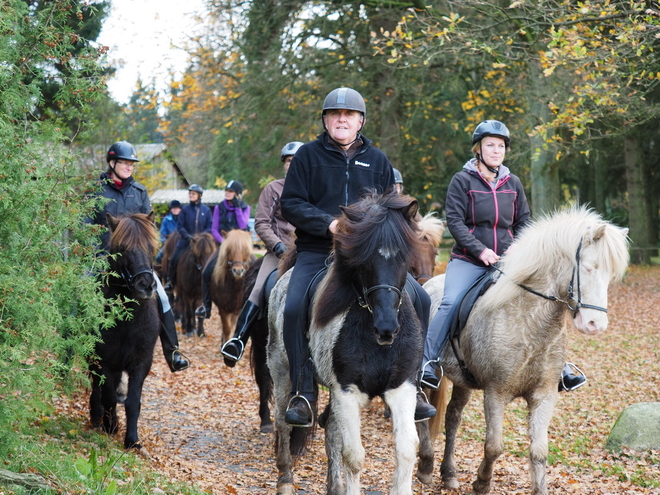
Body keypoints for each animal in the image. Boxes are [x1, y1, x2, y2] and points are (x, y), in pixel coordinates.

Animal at [89, 211, 160, 452]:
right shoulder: (106, 360)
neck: (128, 320)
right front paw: (111, 426)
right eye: (123, 248)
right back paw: (96, 417)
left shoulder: (141, 362)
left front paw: (132, 439)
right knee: (96, 387)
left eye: (151, 247)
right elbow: (109, 397)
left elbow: (132, 401)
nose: (146, 285)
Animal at [266, 193, 426, 495]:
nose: (386, 328)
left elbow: (406, 449)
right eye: (364, 260)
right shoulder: (347, 391)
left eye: (403, 257)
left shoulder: (401, 388)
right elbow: (354, 456)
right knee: (282, 421)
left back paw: (334, 486)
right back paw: (285, 480)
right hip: (281, 370)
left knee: (330, 428)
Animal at [422, 205, 628, 495]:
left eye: (609, 276)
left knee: (453, 417)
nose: (595, 325)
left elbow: (539, 452)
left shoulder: (544, 395)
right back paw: (425, 466)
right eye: (589, 268)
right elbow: (494, 446)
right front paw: (482, 483)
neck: (530, 323)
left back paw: (449, 474)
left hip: (463, 381)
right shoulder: (495, 393)